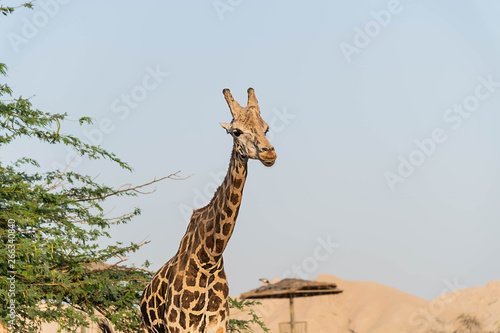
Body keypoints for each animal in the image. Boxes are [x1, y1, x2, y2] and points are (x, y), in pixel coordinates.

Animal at [98, 87, 276, 330]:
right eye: (236, 132)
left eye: (266, 128)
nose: (269, 153)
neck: (208, 259)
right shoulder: (179, 326)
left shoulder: (219, 325)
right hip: (146, 328)